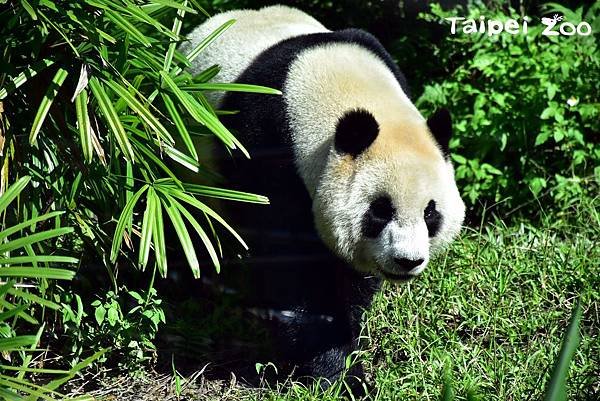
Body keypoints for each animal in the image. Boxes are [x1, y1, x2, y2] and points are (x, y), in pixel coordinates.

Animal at [180, 3, 466, 388]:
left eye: (430, 213)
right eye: (380, 211)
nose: (408, 261)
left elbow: (350, 276)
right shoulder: (269, 151)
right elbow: (295, 273)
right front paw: (341, 374)